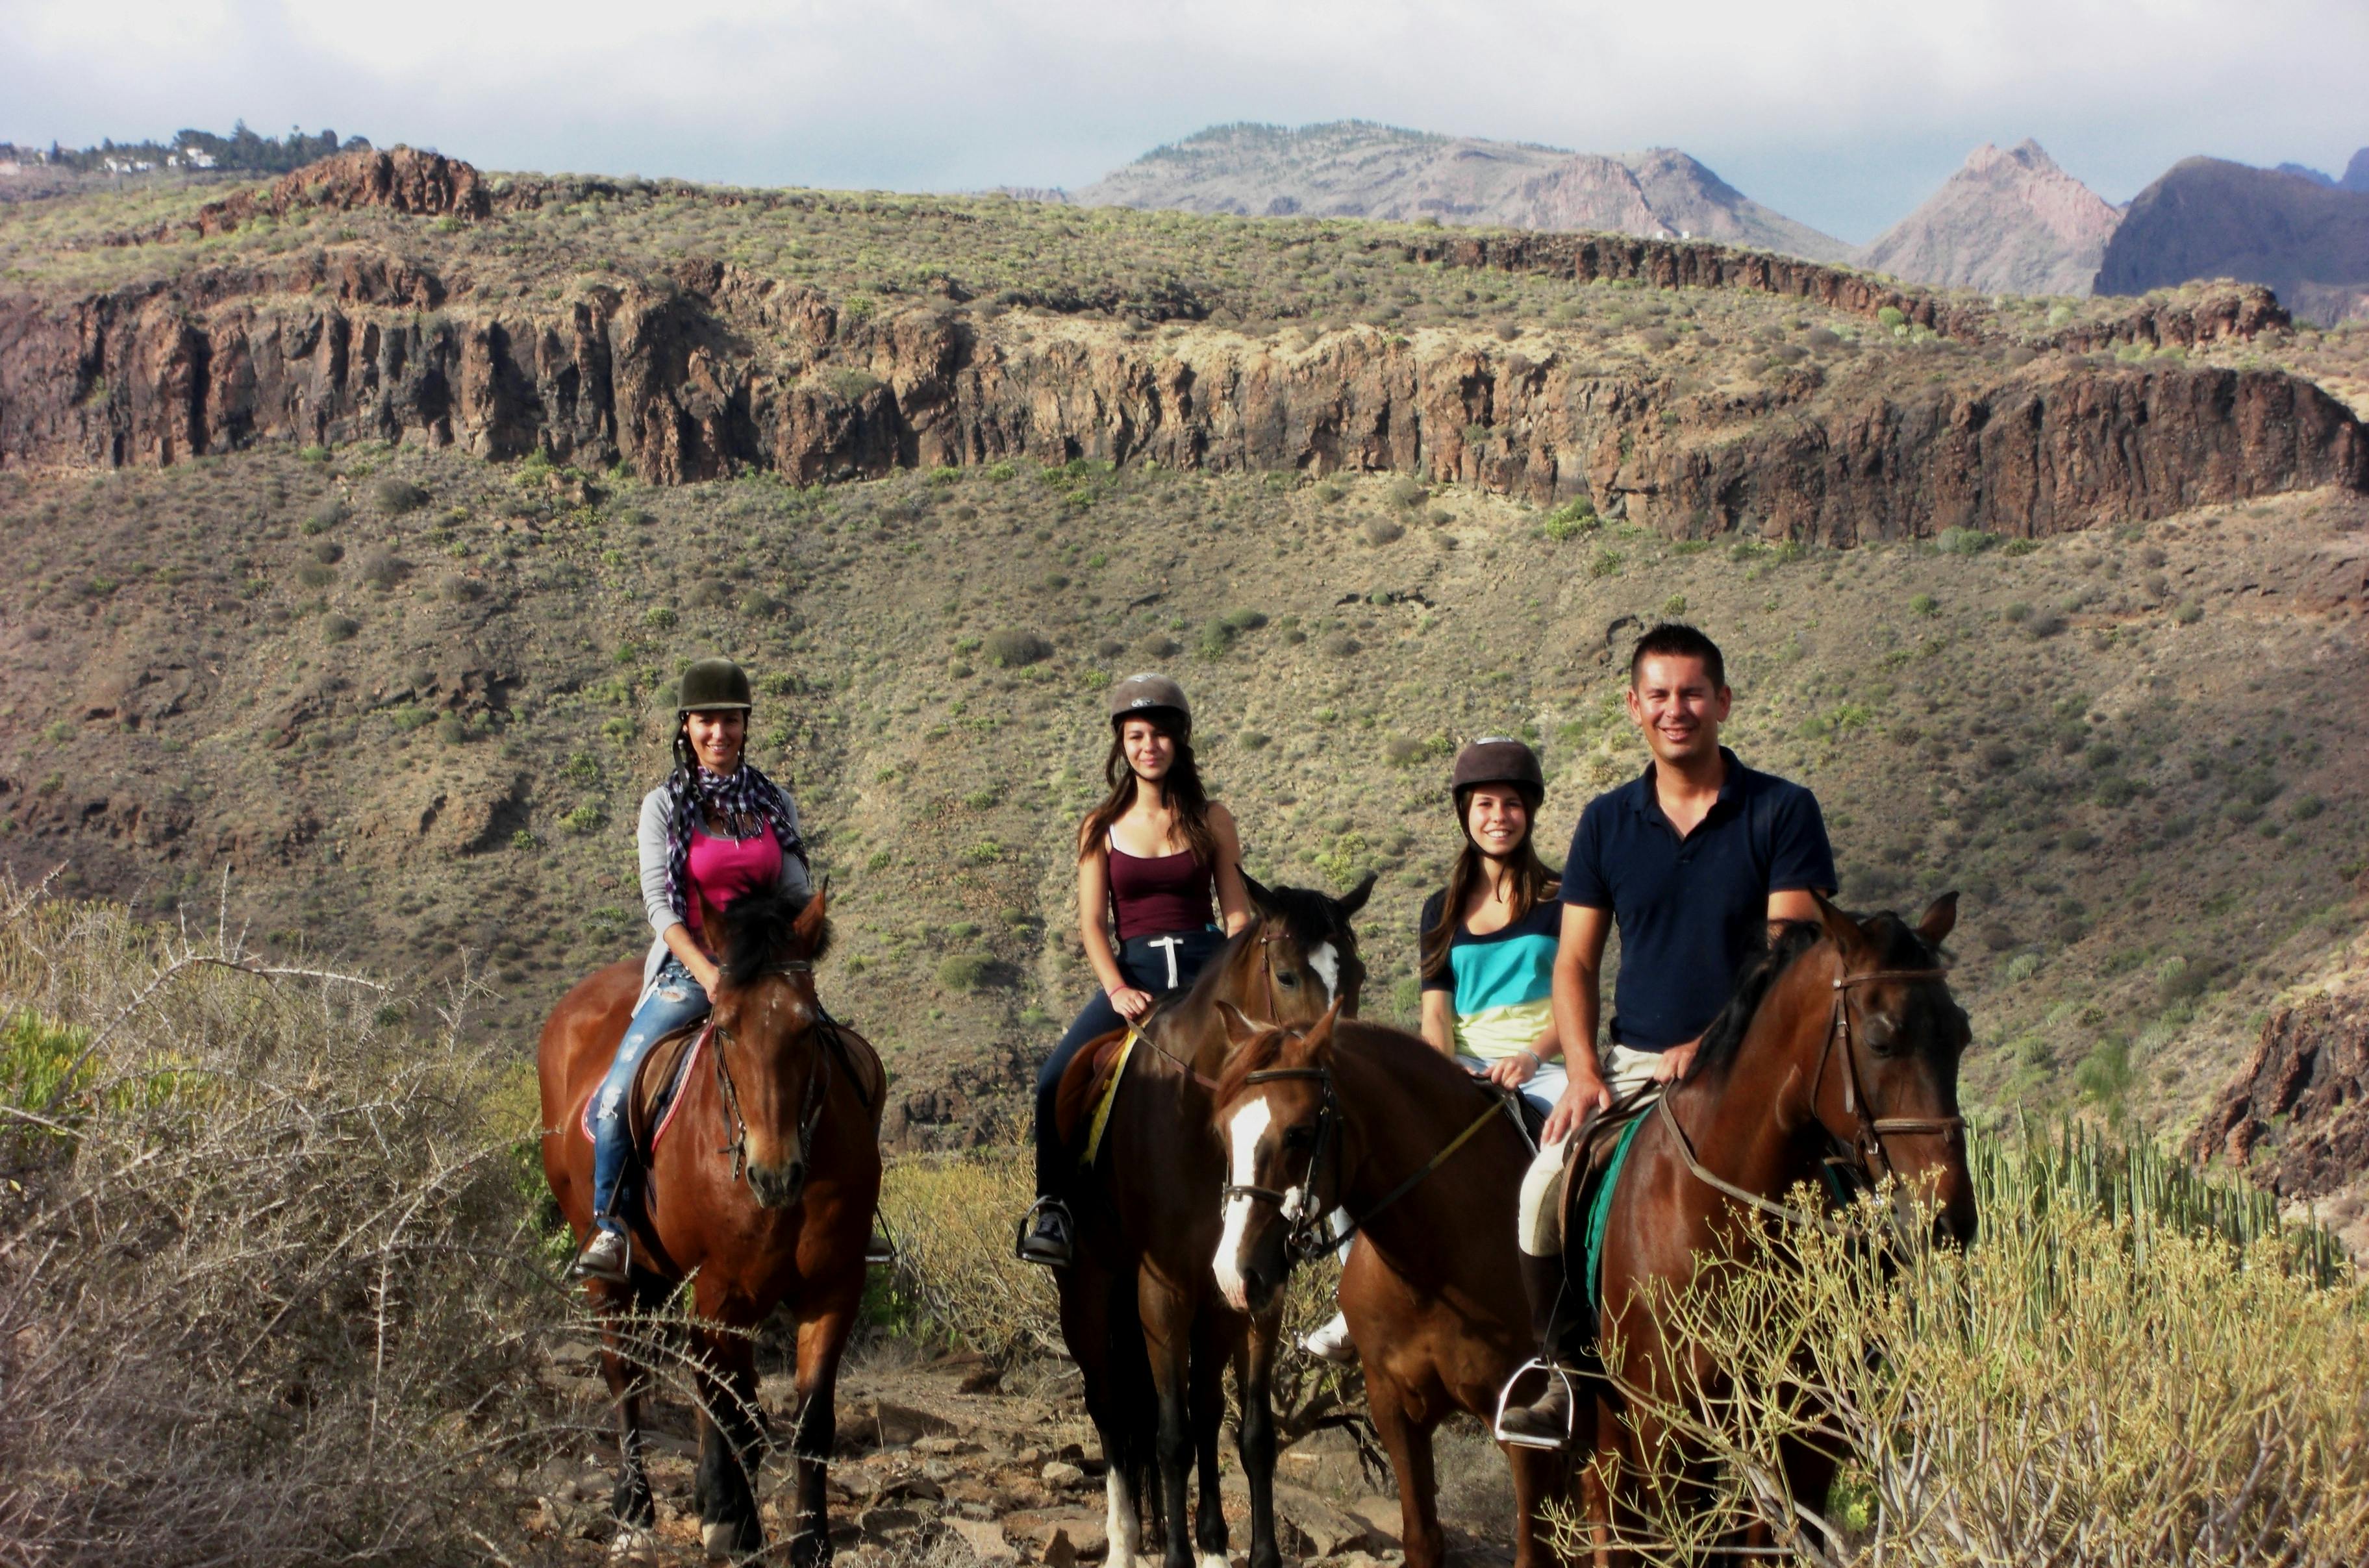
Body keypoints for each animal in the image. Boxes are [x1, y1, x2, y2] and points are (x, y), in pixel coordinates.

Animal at [542, 890, 886, 1563]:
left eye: (807, 1027)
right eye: (725, 1026)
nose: (774, 1174)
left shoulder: (833, 1289)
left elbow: (809, 1421)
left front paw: (807, 1540)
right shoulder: (721, 1292)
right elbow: (733, 1414)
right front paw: (735, 1527)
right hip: (611, 1270)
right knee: (625, 1374)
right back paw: (634, 1510)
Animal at [1051, 871, 1373, 1568]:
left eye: (1355, 973)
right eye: (1286, 974)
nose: (1333, 1085)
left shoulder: (1257, 1290)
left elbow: (1250, 1433)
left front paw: (1251, 1553)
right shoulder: (1163, 1288)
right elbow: (1168, 1435)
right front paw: (1173, 1554)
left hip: (1214, 1305)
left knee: (1203, 1407)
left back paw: (1213, 1543)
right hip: (1089, 1294)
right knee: (1110, 1406)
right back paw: (1124, 1543)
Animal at [1203, 1009, 1573, 1568]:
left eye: (1299, 1133)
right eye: (1223, 1132)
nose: (1234, 1274)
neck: (1435, 1267)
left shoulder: (1524, 1424)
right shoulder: (1394, 1409)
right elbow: (1422, 1539)